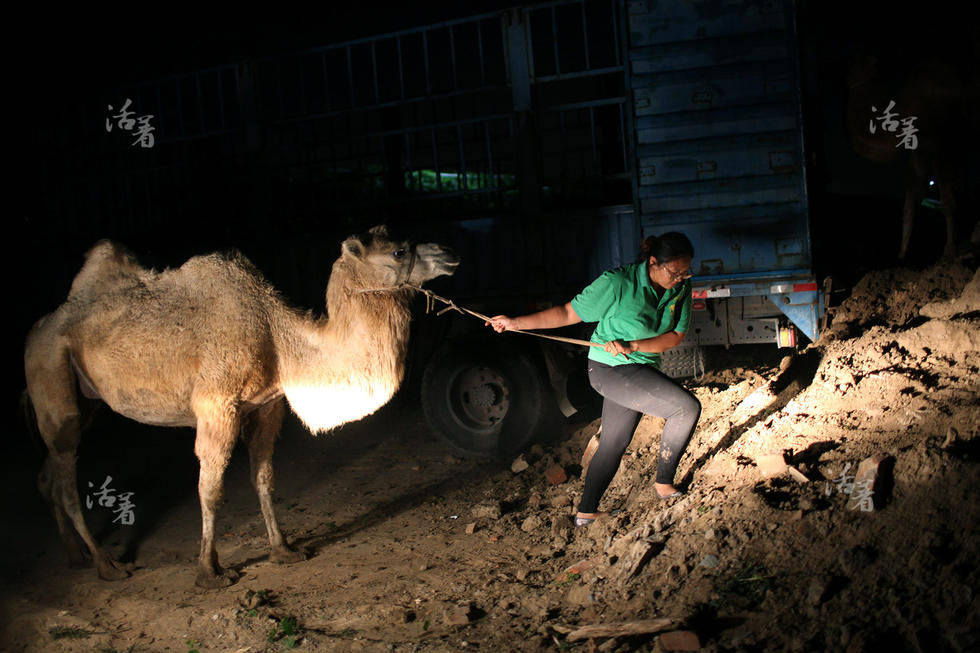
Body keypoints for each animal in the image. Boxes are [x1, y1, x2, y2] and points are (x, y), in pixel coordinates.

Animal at [23, 225, 460, 584]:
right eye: (399, 251)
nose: (448, 251)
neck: (278, 337)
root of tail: (38, 329)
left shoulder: (267, 406)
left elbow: (263, 478)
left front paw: (283, 550)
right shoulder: (217, 406)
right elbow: (210, 488)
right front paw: (209, 571)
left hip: (86, 401)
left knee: (49, 474)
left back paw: (75, 556)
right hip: (51, 371)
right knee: (65, 479)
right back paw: (105, 564)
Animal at [848, 54, 968, 258]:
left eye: (863, 65)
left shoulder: (934, 141)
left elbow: (942, 197)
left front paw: (950, 251)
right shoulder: (920, 149)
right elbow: (911, 201)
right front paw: (902, 255)